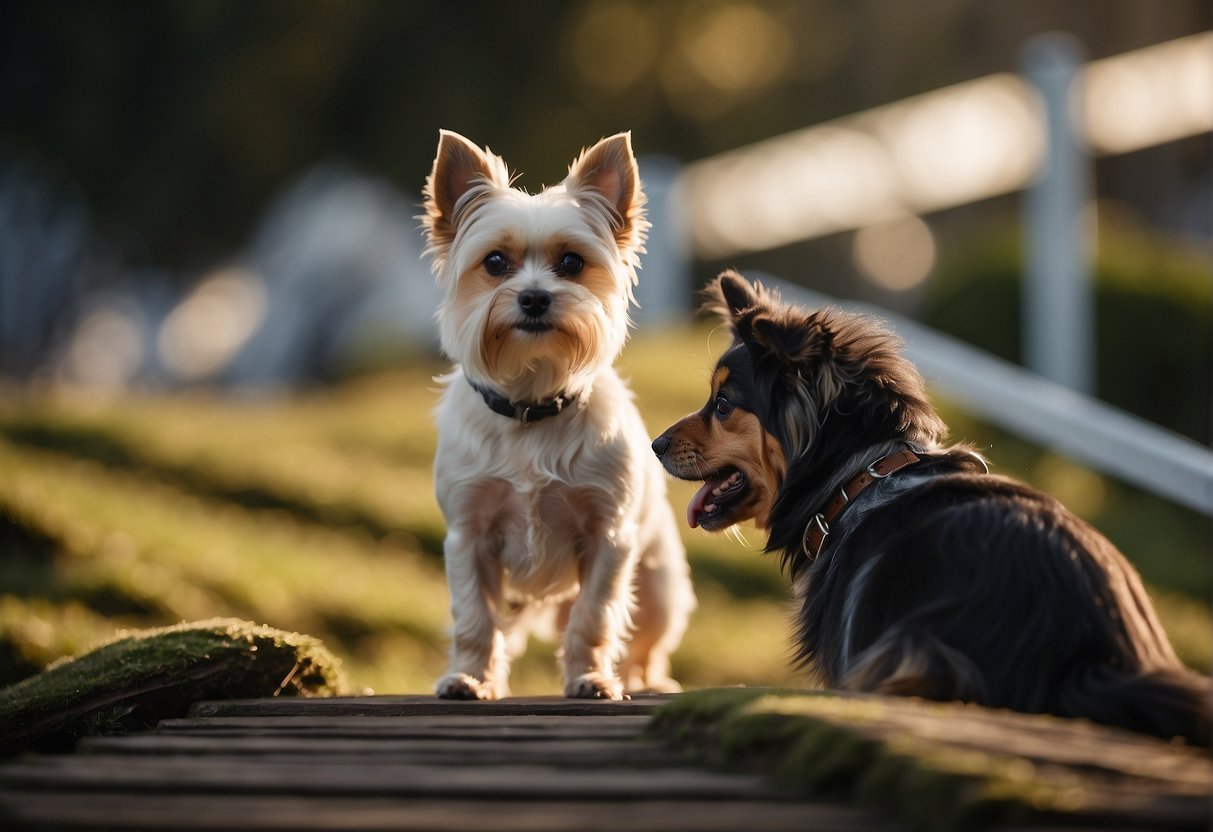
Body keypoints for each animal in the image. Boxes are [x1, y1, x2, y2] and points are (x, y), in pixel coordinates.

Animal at [422, 132, 698, 703]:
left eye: (571, 263)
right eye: (495, 262)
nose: (533, 297)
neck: (532, 404)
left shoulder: (607, 538)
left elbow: (594, 618)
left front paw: (590, 677)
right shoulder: (469, 536)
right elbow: (474, 620)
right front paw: (470, 677)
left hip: (660, 587)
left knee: (647, 642)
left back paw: (648, 679)